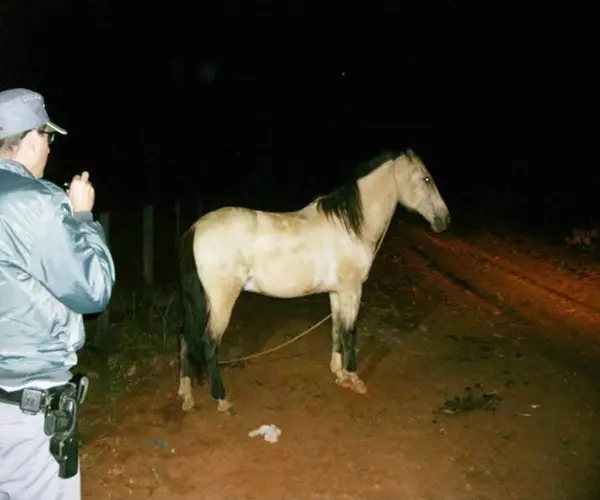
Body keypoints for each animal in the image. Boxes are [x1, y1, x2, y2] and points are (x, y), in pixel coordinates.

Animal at [178, 149, 450, 414]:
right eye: (426, 178)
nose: (444, 220)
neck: (350, 226)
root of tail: (196, 227)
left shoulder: (337, 292)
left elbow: (337, 328)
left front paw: (339, 374)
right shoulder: (352, 289)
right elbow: (350, 331)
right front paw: (354, 378)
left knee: (185, 339)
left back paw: (186, 396)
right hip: (221, 301)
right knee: (209, 343)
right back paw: (221, 398)